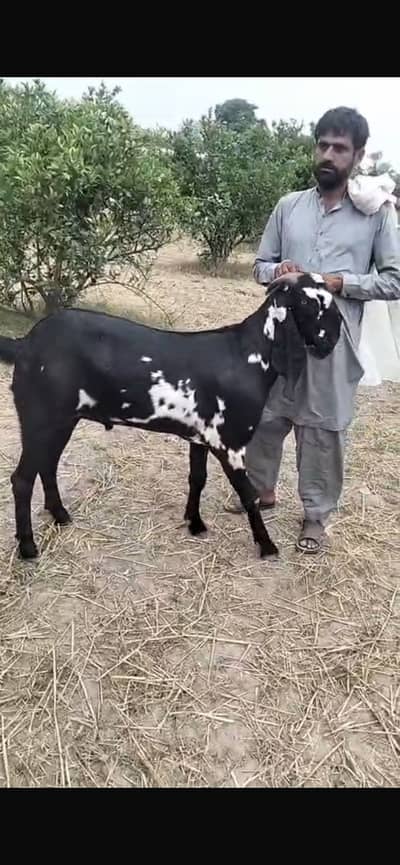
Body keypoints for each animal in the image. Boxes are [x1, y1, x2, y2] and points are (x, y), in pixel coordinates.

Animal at [0, 273, 342, 561]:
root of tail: (26, 344)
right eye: (311, 303)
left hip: (61, 421)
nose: (337, 331)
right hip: (40, 419)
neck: (247, 356)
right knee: (22, 479)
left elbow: (197, 478)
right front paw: (267, 546)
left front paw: (195, 523)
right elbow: (249, 495)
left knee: (47, 465)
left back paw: (60, 515)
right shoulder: (229, 444)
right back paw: (28, 547)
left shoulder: (200, 437)